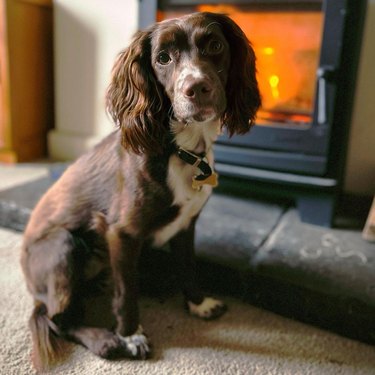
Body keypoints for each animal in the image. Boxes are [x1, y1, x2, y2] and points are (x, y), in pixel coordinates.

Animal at [21, 11, 262, 370]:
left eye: (215, 45)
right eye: (162, 58)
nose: (197, 88)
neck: (180, 149)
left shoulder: (186, 226)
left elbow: (188, 268)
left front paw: (199, 304)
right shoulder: (121, 233)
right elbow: (126, 293)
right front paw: (130, 334)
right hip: (62, 245)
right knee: (56, 319)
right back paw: (104, 340)